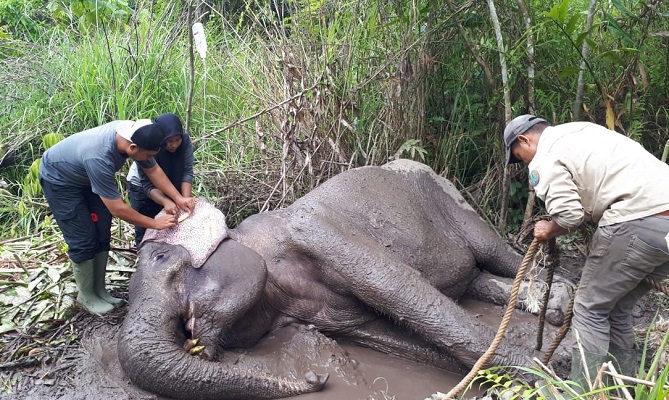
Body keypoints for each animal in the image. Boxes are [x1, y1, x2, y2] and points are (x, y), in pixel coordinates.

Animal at [116, 159, 568, 400]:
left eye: (160, 257)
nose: (316, 378)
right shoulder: (328, 316)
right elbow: (387, 333)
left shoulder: (316, 230)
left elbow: (403, 291)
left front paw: (552, 374)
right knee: (475, 280)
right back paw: (551, 305)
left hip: (450, 196)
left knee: (497, 253)